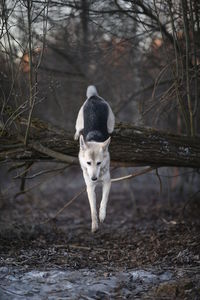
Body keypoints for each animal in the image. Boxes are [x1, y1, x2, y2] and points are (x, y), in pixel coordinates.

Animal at [74, 85, 115, 233]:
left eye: (99, 163)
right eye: (88, 163)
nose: (94, 178)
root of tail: (93, 97)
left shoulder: (108, 182)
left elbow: (104, 201)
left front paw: (102, 215)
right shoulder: (90, 188)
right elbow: (92, 209)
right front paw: (95, 225)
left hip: (111, 121)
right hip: (79, 121)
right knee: (77, 129)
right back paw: (76, 136)